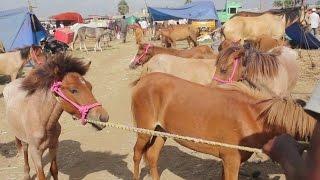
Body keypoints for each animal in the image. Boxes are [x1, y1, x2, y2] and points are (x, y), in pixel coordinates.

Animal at [131, 72, 316, 179]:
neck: (251, 116)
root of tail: (144, 79)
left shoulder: (229, 161)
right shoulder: (231, 160)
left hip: (161, 132)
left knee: (152, 156)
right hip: (145, 132)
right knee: (137, 155)